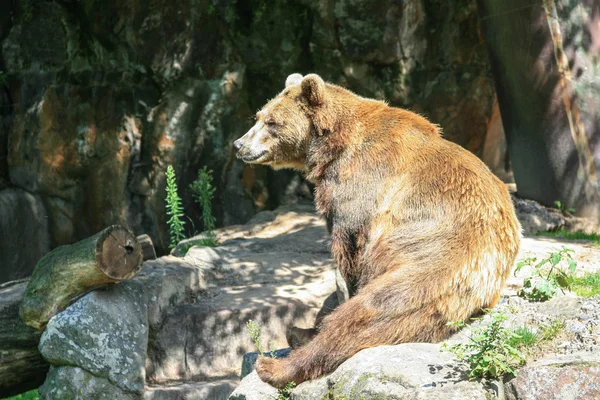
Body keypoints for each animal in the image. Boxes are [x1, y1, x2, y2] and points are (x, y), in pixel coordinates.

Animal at [233, 72, 520, 388]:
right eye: (258, 116)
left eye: (272, 122)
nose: (238, 144)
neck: (333, 147)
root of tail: (490, 270)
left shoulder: (362, 184)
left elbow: (349, 250)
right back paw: (298, 333)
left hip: (429, 260)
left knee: (369, 312)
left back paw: (276, 364)